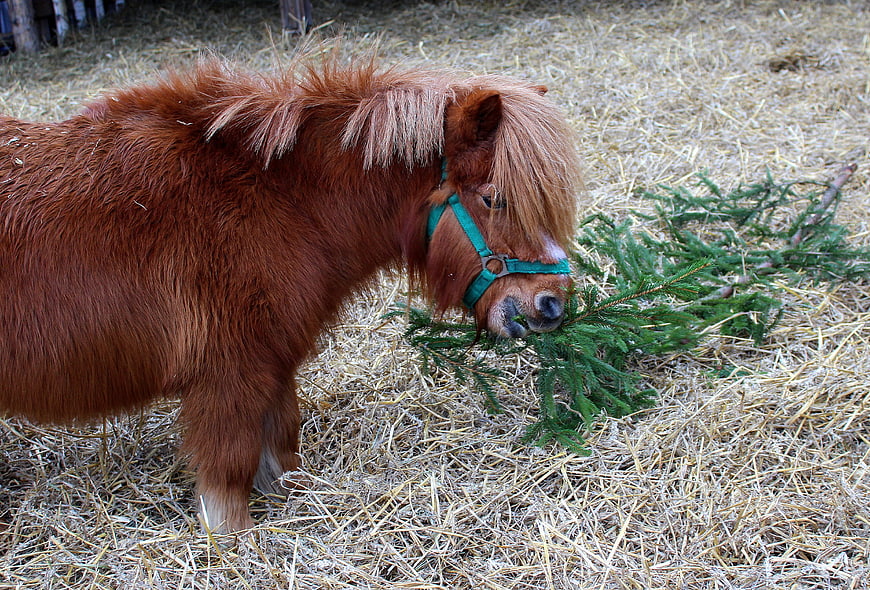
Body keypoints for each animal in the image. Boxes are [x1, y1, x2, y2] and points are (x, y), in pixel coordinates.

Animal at [0, 56, 581, 533]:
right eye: (494, 198)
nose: (553, 304)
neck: (280, 201)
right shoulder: (228, 376)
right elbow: (230, 476)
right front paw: (230, 546)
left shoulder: (271, 361)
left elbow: (281, 446)